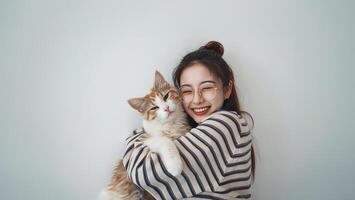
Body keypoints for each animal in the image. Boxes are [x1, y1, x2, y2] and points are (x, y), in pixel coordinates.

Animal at [98, 71, 193, 199]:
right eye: (154, 108)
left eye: (166, 96)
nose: (166, 108)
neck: (171, 124)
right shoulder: (146, 140)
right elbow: (165, 141)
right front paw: (175, 165)